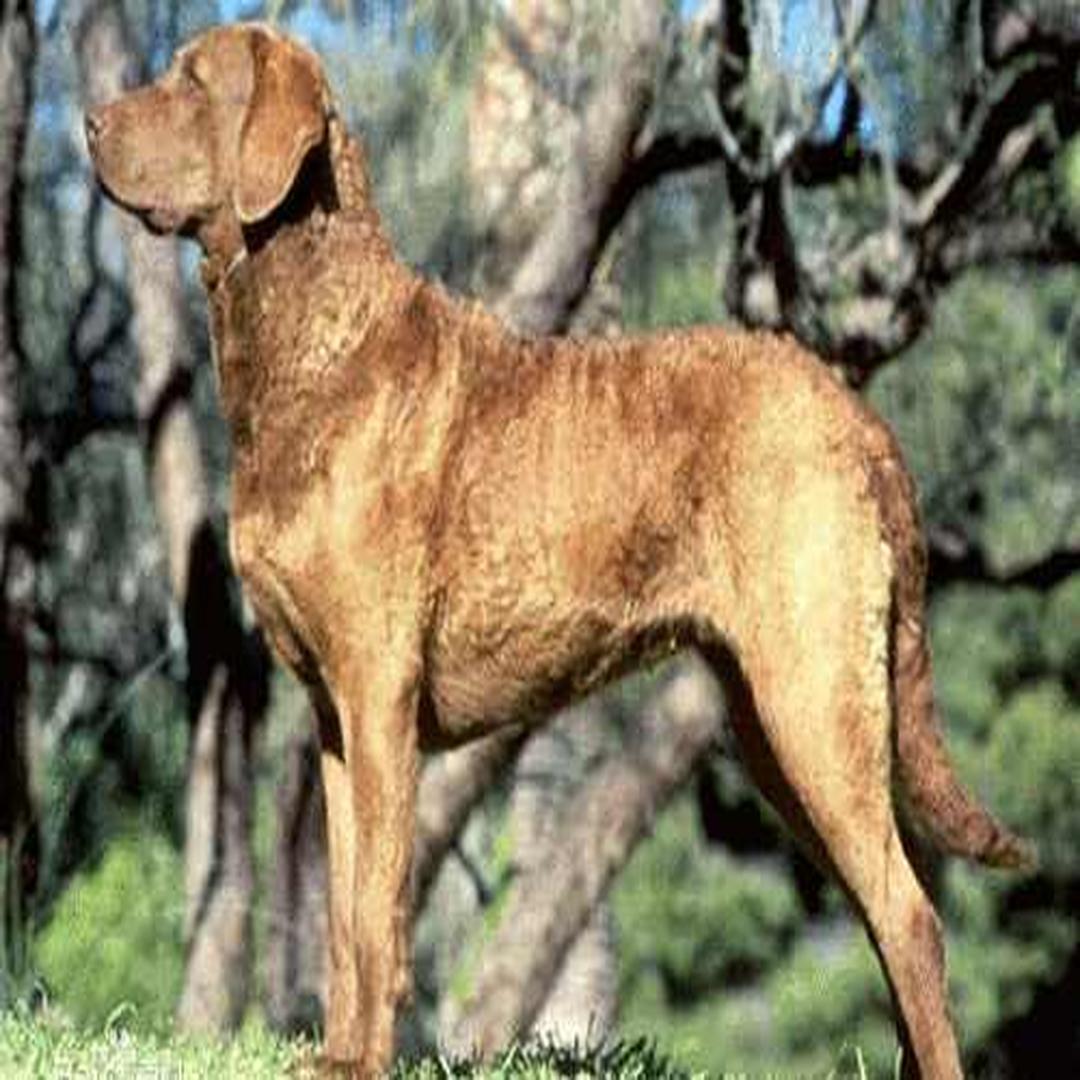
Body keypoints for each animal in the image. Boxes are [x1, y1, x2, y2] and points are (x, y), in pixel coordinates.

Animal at [84, 21, 1028, 1075]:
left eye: (191, 81)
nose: (88, 122)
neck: (320, 344)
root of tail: (854, 412)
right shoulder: (333, 716)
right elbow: (338, 907)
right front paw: (332, 1055)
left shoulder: (377, 695)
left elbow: (373, 904)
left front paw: (366, 1060)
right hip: (773, 722)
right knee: (889, 909)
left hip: (814, 695)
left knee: (908, 913)